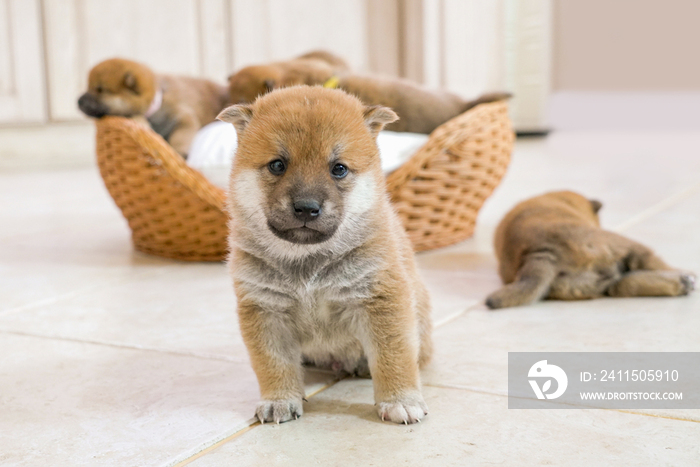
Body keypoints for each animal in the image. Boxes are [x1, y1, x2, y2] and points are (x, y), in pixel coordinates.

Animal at [78, 57, 228, 157]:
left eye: (100, 90)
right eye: (89, 87)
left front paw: (179, 150)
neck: (156, 104)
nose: (78, 101)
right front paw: (142, 122)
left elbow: (180, 135)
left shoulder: (183, 116)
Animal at [219, 86, 432, 426]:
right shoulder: (265, 310)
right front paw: (279, 400)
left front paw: (401, 400)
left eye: (338, 169)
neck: (309, 261)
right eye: (277, 165)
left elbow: (393, 356)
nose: (306, 207)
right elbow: (273, 362)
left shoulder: (382, 301)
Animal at [486, 192, 696, 308]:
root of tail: (540, 250)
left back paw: (682, 283)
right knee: (653, 265)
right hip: (626, 246)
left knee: (628, 284)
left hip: (594, 284)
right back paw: (685, 276)